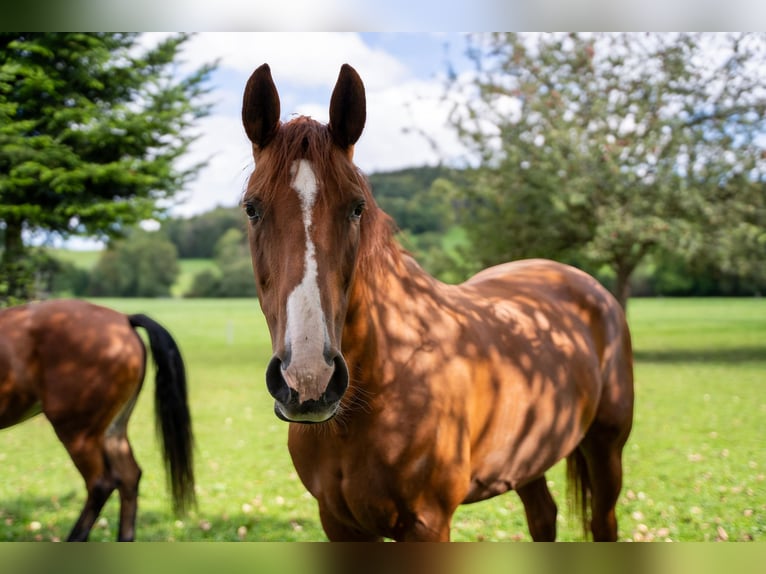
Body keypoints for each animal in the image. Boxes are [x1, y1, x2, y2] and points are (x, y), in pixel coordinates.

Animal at [240, 63, 634, 541]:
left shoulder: (428, 523)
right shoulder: (337, 522)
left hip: (606, 450)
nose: (309, 378)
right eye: (252, 208)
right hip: (526, 458)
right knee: (544, 516)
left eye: (356, 208)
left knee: (602, 521)